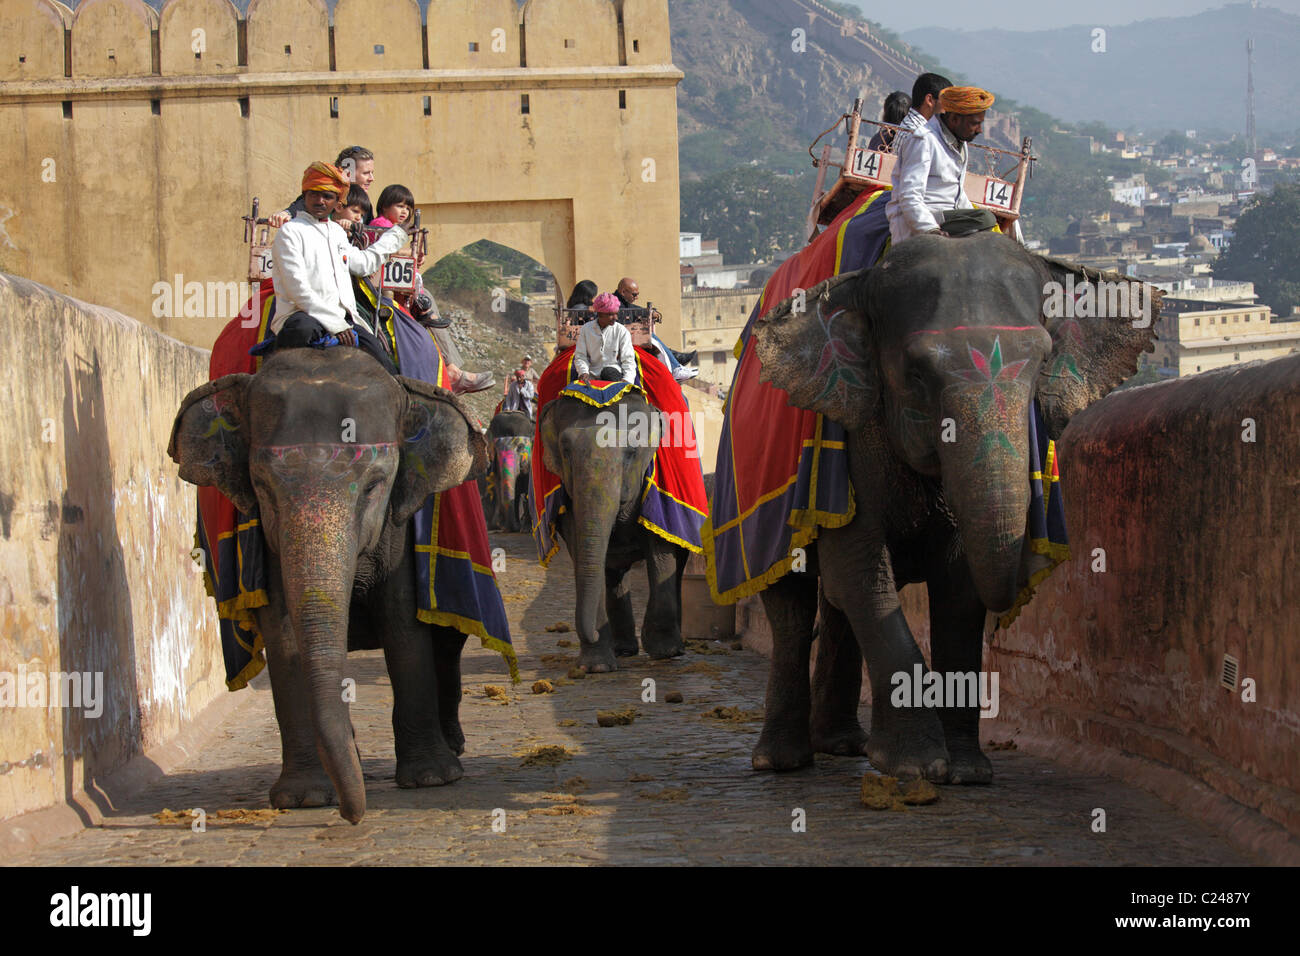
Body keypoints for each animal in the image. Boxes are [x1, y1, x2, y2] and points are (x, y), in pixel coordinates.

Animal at [163, 345, 488, 822]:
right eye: (262, 487)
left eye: (374, 486)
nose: (354, 816)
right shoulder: (265, 540)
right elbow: (283, 636)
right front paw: (305, 798)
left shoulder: (399, 522)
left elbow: (401, 621)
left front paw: (430, 779)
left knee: (447, 642)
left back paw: (451, 752)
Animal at [538, 390, 691, 671]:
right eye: (565, 451)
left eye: (632, 452)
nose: (592, 633)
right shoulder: (567, 495)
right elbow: (582, 551)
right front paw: (596, 667)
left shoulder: (656, 487)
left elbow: (660, 548)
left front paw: (664, 652)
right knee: (612, 573)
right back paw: (623, 650)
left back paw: (672, 647)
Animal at [748, 234, 1154, 785]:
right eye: (916, 372)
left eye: (1042, 362)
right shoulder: (852, 441)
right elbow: (861, 573)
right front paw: (917, 766)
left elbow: (959, 589)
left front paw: (966, 771)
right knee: (793, 605)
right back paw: (781, 761)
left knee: (835, 607)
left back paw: (843, 745)